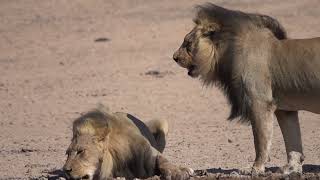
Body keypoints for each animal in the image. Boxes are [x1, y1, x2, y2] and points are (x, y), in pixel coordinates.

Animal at [62, 104, 192, 180]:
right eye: (67, 153)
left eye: (80, 151)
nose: (65, 171)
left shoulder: (150, 152)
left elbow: (164, 161)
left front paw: (179, 172)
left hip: (162, 121)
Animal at [172, 2, 320, 174]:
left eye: (188, 43)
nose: (174, 57)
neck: (227, 52)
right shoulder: (285, 110)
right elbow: (293, 140)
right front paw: (291, 168)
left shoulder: (259, 102)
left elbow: (261, 140)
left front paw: (254, 168)